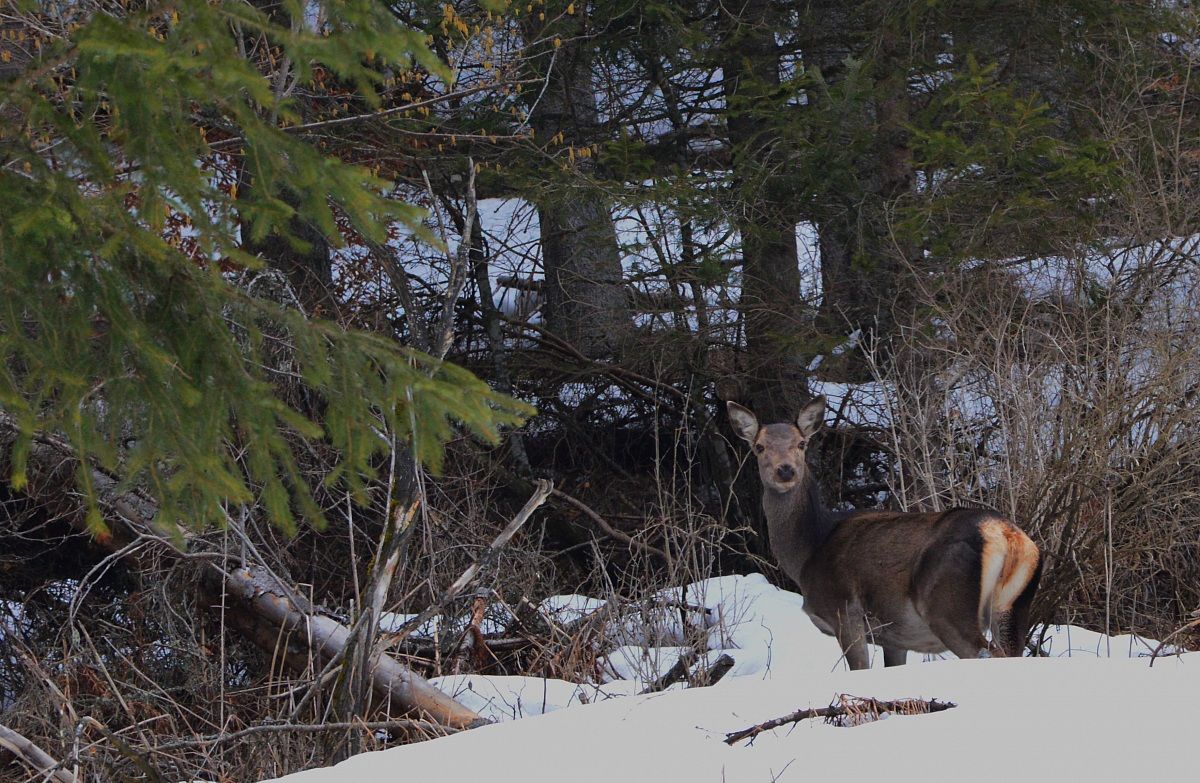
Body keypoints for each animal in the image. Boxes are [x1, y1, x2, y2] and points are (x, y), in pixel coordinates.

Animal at [720, 393, 1041, 667]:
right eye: (759, 447)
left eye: (801, 443)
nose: (785, 470)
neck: (808, 551)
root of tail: (1005, 535)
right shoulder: (894, 637)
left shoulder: (845, 612)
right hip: (1014, 607)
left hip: (947, 605)